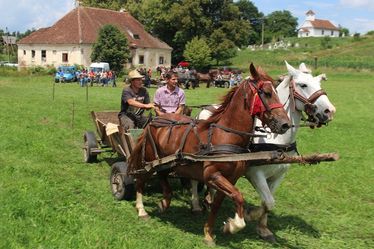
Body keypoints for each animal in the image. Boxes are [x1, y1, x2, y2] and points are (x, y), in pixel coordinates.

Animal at [127, 63, 290, 245]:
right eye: (267, 93)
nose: (285, 124)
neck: (224, 135)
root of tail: (153, 122)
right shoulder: (213, 176)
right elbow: (238, 197)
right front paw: (232, 225)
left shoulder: (230, 179)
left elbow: (217, 206)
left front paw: (209, 234)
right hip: (148, 160)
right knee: (140, 180)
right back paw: (142, 210)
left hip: (166, 162)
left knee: (162, 177)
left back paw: (165, 202)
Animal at [193, 61, 336, 242]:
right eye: (303, 85)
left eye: (319, 83)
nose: (329, 111)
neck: (276, 139)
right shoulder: (255, 173)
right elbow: (268, 201)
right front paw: (248, 215)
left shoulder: (279, 174)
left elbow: (268, 202)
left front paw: (263, 228)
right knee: (193, 181)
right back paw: (196, 204)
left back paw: (209, 198)